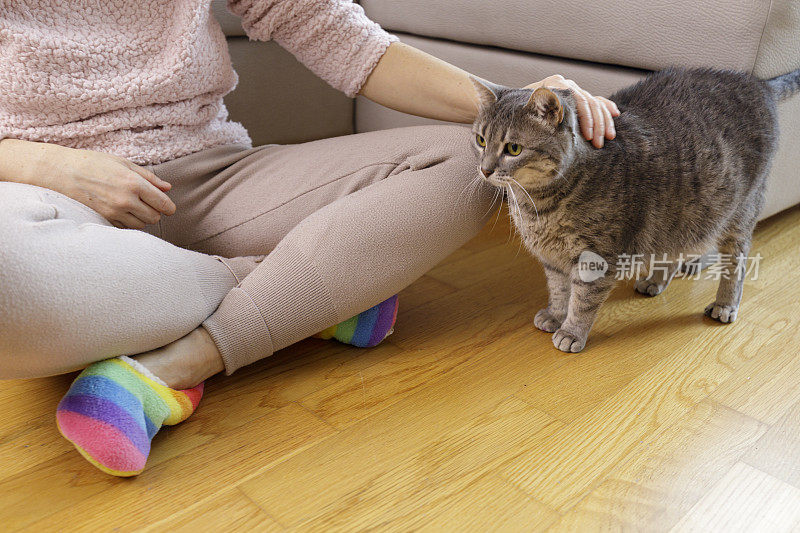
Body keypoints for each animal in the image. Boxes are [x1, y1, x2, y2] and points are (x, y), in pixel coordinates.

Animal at [472, 66, 796, 354]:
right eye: (481, 140)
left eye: (513, 149)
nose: (485, 170)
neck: (539, 206)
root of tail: (756, 82)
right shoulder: (552, 259)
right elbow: (559, 290)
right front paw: (554, 314)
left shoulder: (597, 258)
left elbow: (582, 300)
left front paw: (571, 332)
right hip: (680, 217)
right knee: (673, 251)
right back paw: (654, 281)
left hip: (739, 214)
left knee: (736, 264)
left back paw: (725, 305)